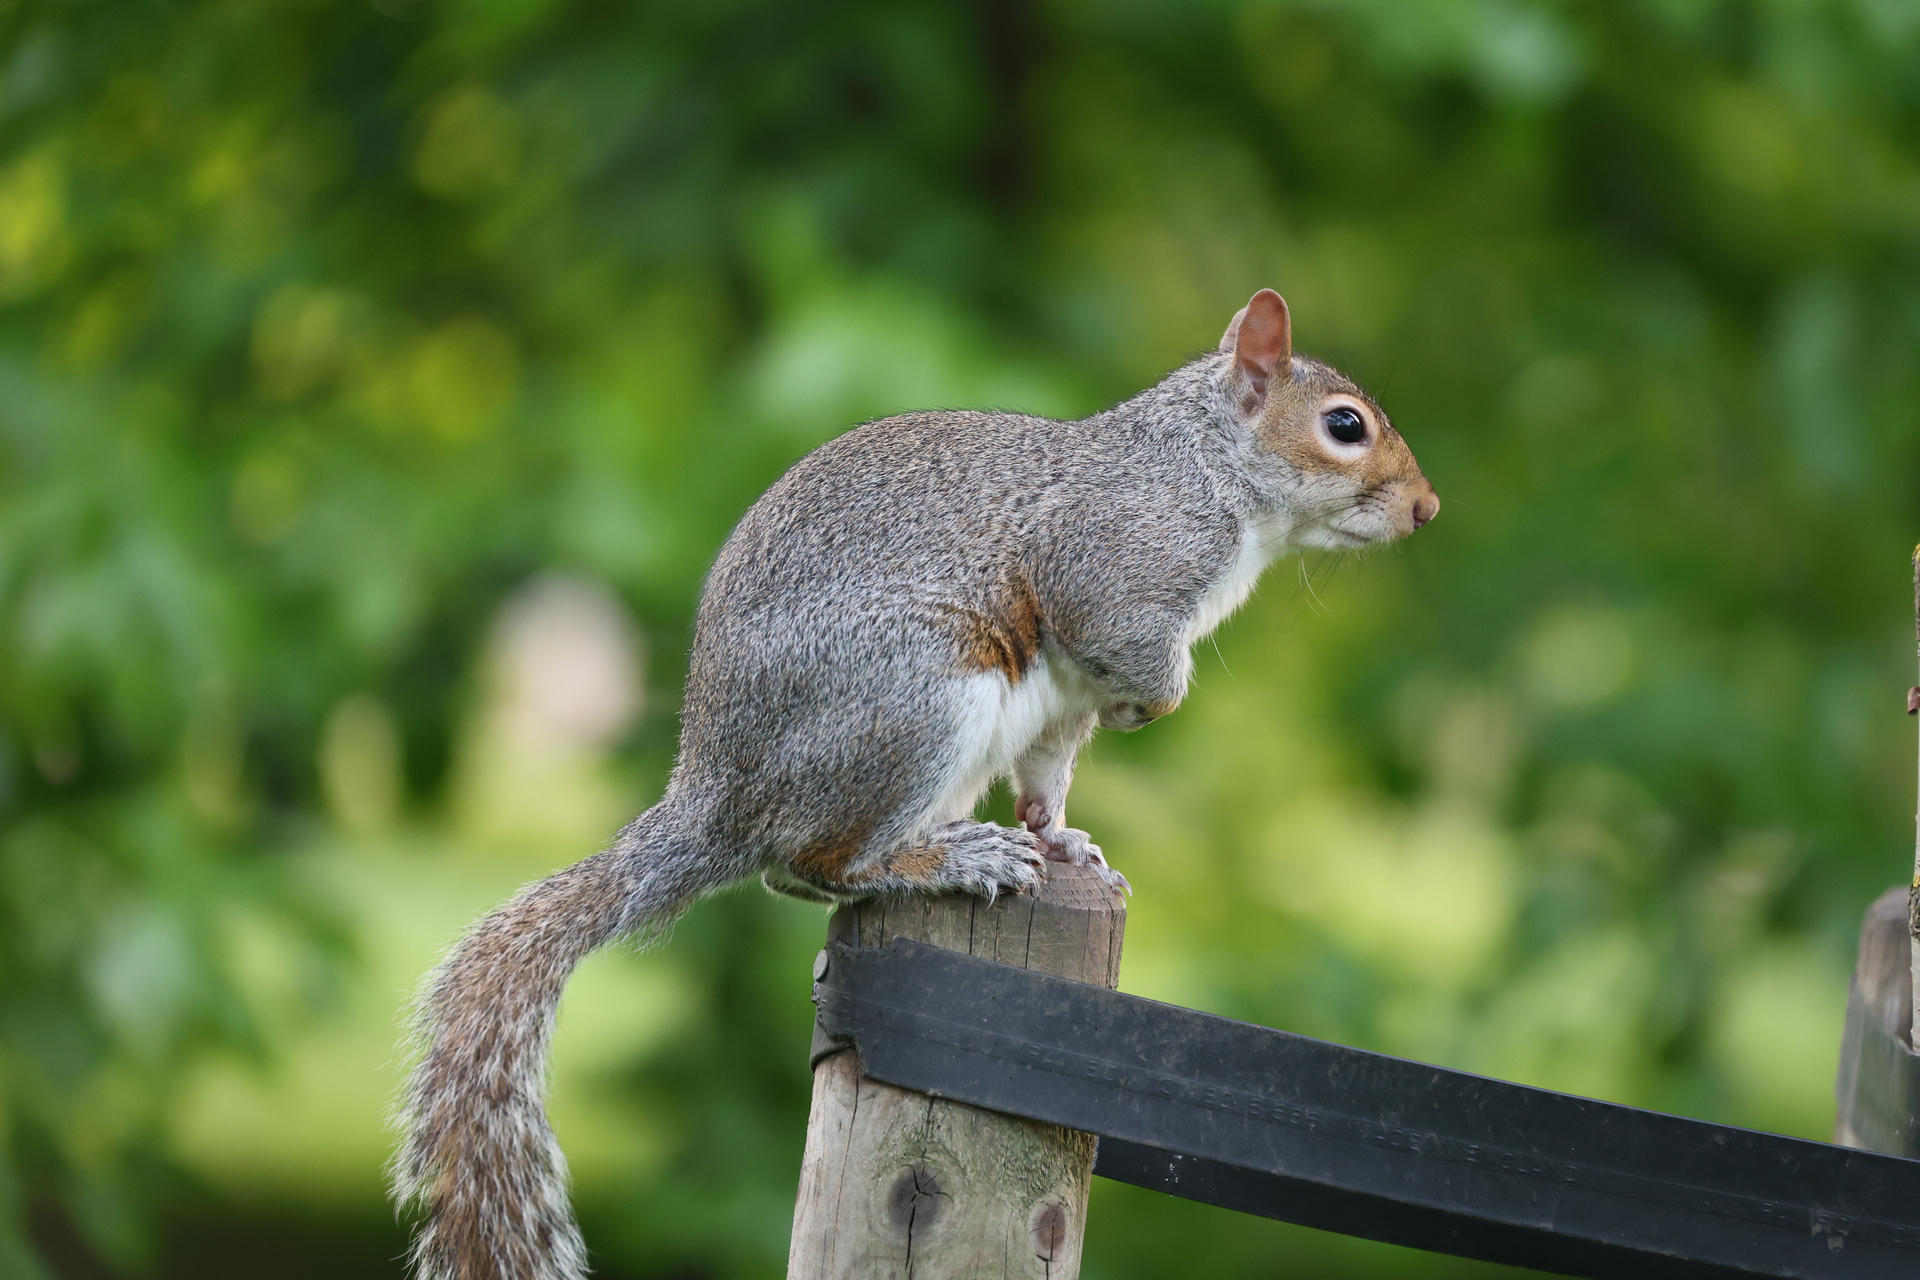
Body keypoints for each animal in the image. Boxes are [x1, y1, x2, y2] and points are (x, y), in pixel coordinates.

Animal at [392, 288, 1439, 1280]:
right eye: (1345, 425)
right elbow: (1129, 639)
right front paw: (1156, 706)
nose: (1426, 510)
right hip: (917, 703)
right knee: (814, 864)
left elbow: (1048, 776)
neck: (1211, 470)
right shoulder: (1118, 567)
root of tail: (714, 799)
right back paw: (949, 859)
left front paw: (1065, 836)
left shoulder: (1066, 704)